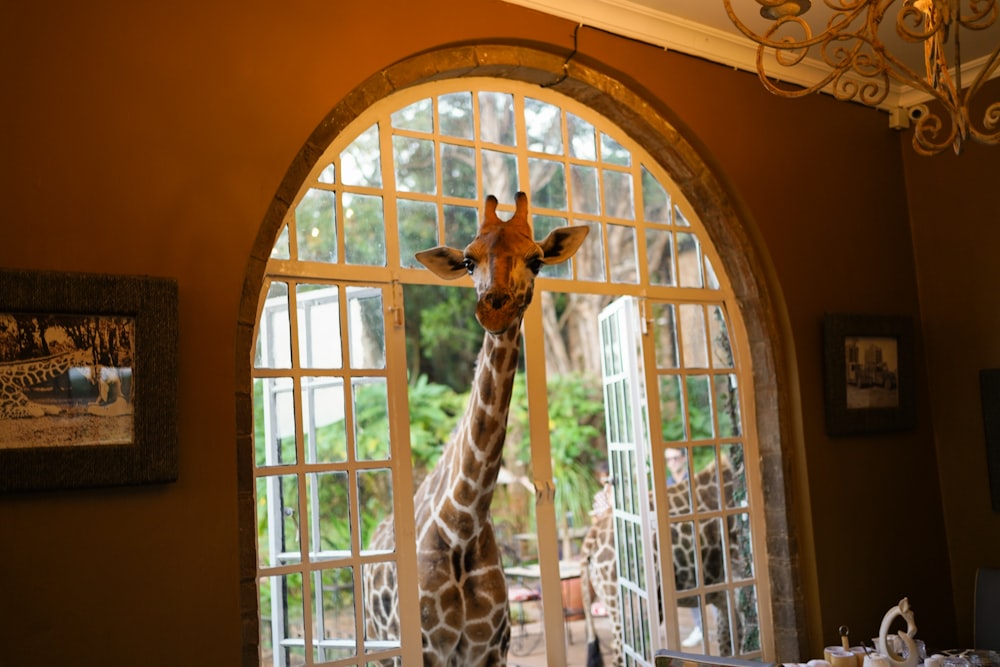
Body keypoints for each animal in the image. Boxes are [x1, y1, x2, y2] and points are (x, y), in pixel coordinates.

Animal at [364, 193, 588, 667]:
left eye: (537, 260)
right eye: (469, 261)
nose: (493, 306)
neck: (462, 523)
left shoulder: (490, 649)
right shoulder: (427, 650)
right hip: (382, 646)